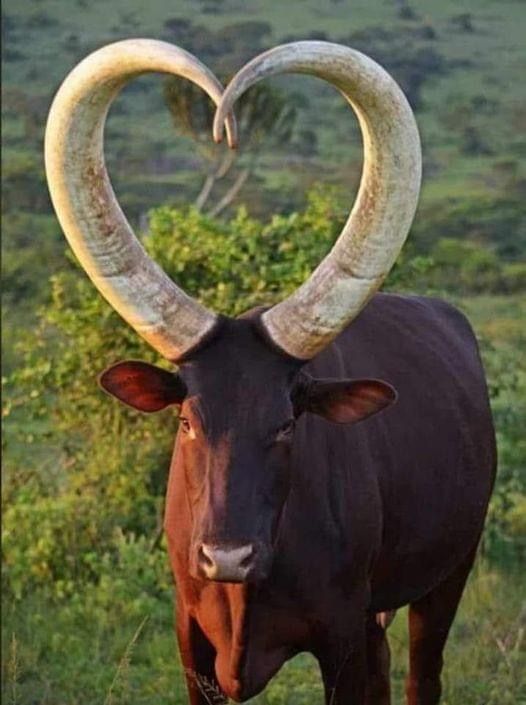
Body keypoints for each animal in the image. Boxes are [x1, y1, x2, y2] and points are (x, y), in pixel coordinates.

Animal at [46, 40, 500, 704]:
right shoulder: (191, 641)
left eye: (288, 424)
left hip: (448, 574)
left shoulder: (340, 635)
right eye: (186, 421)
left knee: (424, 674)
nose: (227, 557)